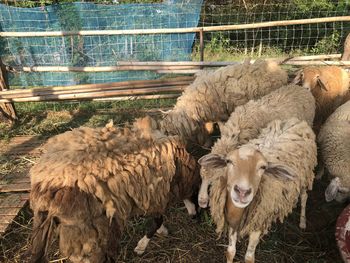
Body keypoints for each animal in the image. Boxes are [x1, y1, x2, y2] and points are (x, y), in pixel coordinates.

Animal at [28, 117, 200, 263]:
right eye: (195, 191)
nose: (195, 216)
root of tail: (48, 184)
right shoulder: (154, 193)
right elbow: (156, 220)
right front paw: (142, 246)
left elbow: (155, 217)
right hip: (89, 230)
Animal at [160, 59, 288, 150]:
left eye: (170, 131)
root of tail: (278, 67)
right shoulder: (213, 114)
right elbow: (209, 129)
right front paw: (207, 143)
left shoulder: (221, 114)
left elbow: (221, 129)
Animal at [200, 119, 318, 263]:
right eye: (228, 161)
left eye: (263, 167)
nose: (242, 191)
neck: (238, 211)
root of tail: (297, 121)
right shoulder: (232, 221)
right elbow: (230, 252)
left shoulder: (259, 220)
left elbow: (249, 258)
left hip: (305, 178)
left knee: (304, 196)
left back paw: (302, 222)